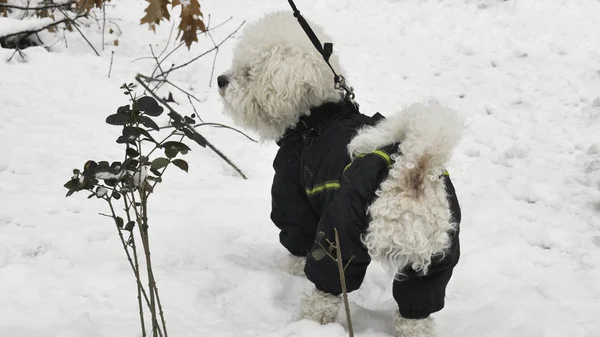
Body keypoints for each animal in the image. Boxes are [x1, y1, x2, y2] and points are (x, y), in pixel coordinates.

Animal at [218, 9, 462, 336]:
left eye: (248, 73)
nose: (221, 80)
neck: (317, 119)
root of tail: (414, 169)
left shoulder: (293, 198)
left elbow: (296, 243)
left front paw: (293, 273)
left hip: (339, 236)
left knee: (327, 288)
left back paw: (310, 322)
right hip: (435, 257)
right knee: (418, 310)